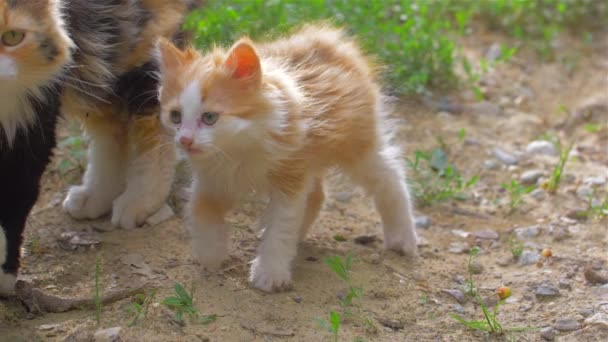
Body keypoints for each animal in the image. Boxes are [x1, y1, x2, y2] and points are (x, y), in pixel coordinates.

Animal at [0, 0, 200, 296]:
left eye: (12, 36)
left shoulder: (31, 119)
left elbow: (13, 201)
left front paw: (4, 274)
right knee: (110, 124)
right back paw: (95, 197)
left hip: (135, 36)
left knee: (155, 117)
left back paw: (140, 200)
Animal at [156, 24, 418, 292]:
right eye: (175, 116)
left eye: (209, 118)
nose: (185, 140)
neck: (238, 149)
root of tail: (328, 41)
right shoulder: (213, 180)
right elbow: (201, 211)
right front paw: (211, 253)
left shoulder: (290, 178)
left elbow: (280, 228)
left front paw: (269, 274)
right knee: (318, 195)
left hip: (358, 146)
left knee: (390, 178)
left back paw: (403, 238)